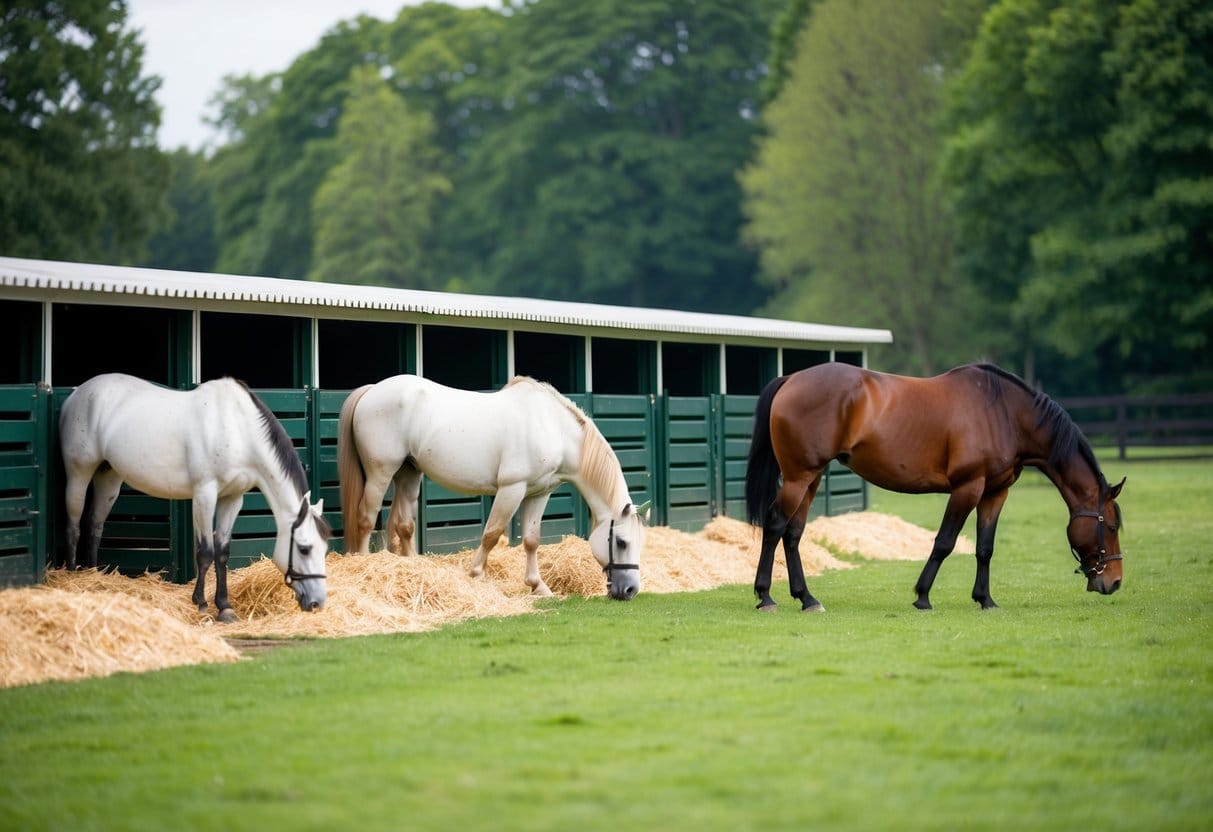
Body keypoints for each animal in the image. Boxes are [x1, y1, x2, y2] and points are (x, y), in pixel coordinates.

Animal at [59, 375, 329, 620]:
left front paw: (225, 607)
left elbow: (222, 551)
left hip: (109, 477)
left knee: (95, 525)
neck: (237, 428)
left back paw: (94, 576)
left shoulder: (233, 498)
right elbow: (205, 552)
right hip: (79, 473)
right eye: (304, 549)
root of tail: (76, 394)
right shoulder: (205, 494)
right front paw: (201, 603)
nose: (317, 602)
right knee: (73, 525)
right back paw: (71, 580)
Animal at [337, 375, 650, 599]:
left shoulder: (539, 493)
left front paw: (538, 586)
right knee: (365, 517)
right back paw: (362, 567)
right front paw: (475, 575)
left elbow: (531, 540)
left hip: (409, 472)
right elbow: (492, 533)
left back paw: (415, 569)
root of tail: (372, 390)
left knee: (404, 524)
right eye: (621, 542)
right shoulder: (512, 489)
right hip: (381, 473)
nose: (630, 590)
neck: (553, 429)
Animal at [737, 363, 1125, 613]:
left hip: (811, 478)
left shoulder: (994, 493)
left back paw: (806, 598)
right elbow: (944, 542)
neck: (1004, 414)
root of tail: (790, 379)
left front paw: (985, 599)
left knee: (794, 533)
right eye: (1111, 526)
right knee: (775, 526)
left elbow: (985, 548)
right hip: (799, 477)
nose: (1115, 582)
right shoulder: (967, 488)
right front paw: (923, 596)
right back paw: (765, 597)